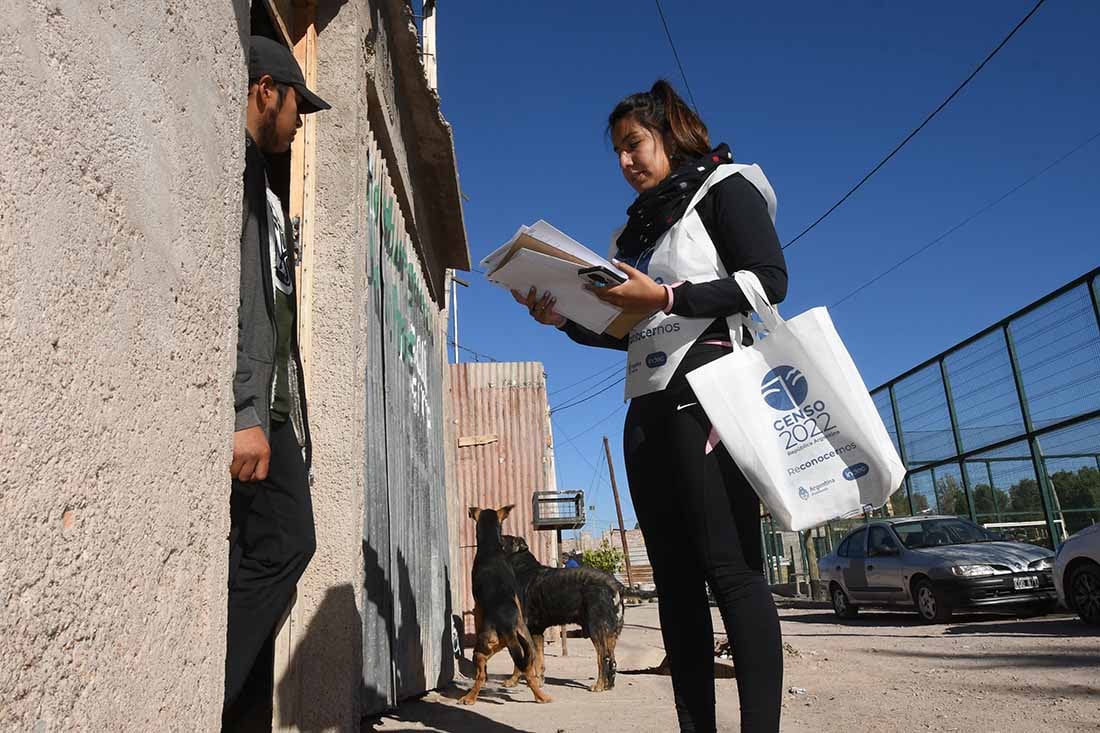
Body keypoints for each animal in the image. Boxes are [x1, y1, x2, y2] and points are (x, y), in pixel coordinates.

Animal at [455, 506, 550, 704]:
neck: (491, 549)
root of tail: (508, 628)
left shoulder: (477, 608)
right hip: (523, 647)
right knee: (528, 672)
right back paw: (541, 697)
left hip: (480, 649)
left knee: (481, 675)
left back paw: (469, 697)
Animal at [501, 534, 624, 686]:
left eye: (502, 538)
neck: (521, 568)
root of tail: (614, 585)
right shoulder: (536, 630)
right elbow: (539, 659)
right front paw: (539, 680)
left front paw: (512, 680)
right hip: (611, 633)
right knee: (612, 659)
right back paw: (608, 685)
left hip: (596, 629)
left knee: (603, 657)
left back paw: (599, 685)